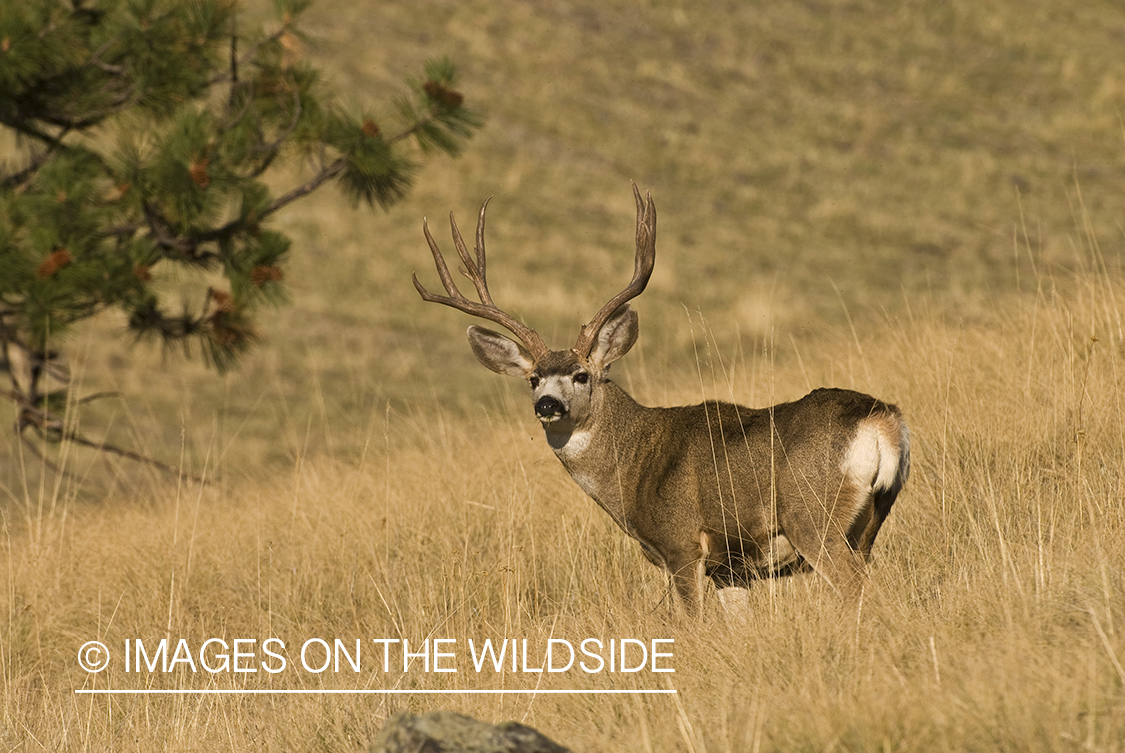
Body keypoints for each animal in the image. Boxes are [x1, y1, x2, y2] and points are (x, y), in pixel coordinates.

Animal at [413, 184, 910, 616]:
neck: (635, 467)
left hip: (811, 515)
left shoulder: (681, 544)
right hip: (869, 522)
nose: (547, 405)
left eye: (581, 375)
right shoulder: (732, 570)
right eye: (533, 379)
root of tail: (882, 419)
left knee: (853, 587)